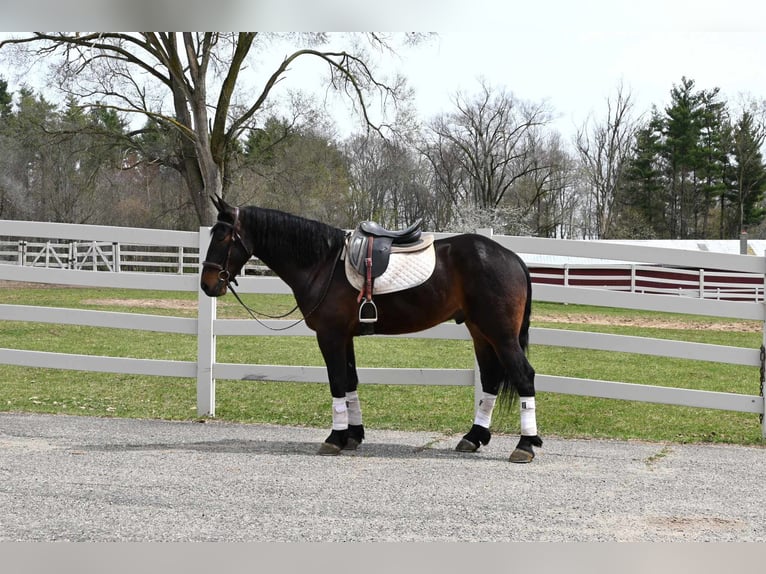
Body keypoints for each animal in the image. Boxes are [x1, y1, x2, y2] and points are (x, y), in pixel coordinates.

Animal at [201, 197, 544, 464]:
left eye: (222, 237)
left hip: (500, 335)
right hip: (480, 333)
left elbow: (337, 382)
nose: (207, 284)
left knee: (524, 376)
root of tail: (512, 257)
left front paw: (335, 438)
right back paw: (474, 436)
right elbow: (350, 382)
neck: (323, 263)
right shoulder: (345, 338)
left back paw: (525, 445)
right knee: (490, 378)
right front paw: (353, 435)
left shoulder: (330, 336)